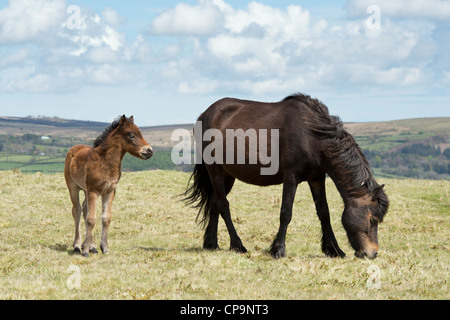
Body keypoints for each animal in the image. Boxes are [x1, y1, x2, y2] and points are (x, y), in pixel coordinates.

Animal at [64, 116, 153, 256]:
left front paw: (103, 247)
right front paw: (85, 251)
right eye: (131, 135)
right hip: (73, 187)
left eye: (141, 133)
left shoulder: (110, 191)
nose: (149, 151)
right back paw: (78, 246)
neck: (104, 161)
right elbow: (91, 219)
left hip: (85, 190)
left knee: (85, 209)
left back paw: (92, 247)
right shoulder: (93, 190)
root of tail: (74, 148)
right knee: (77, 210)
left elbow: (105, 218)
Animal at [183, 94, 386, 258]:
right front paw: (278, 249)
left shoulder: (317, 178)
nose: (372, 253)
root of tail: (205, 115)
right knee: (223, 206)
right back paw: (238, 245)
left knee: (214, 203)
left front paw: (333, 249)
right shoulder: (291, 177)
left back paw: (211, 243)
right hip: (215, 170)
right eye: (373, 219)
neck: (313, 136)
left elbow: (324, 212)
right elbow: (286, 213)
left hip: (227, 175)